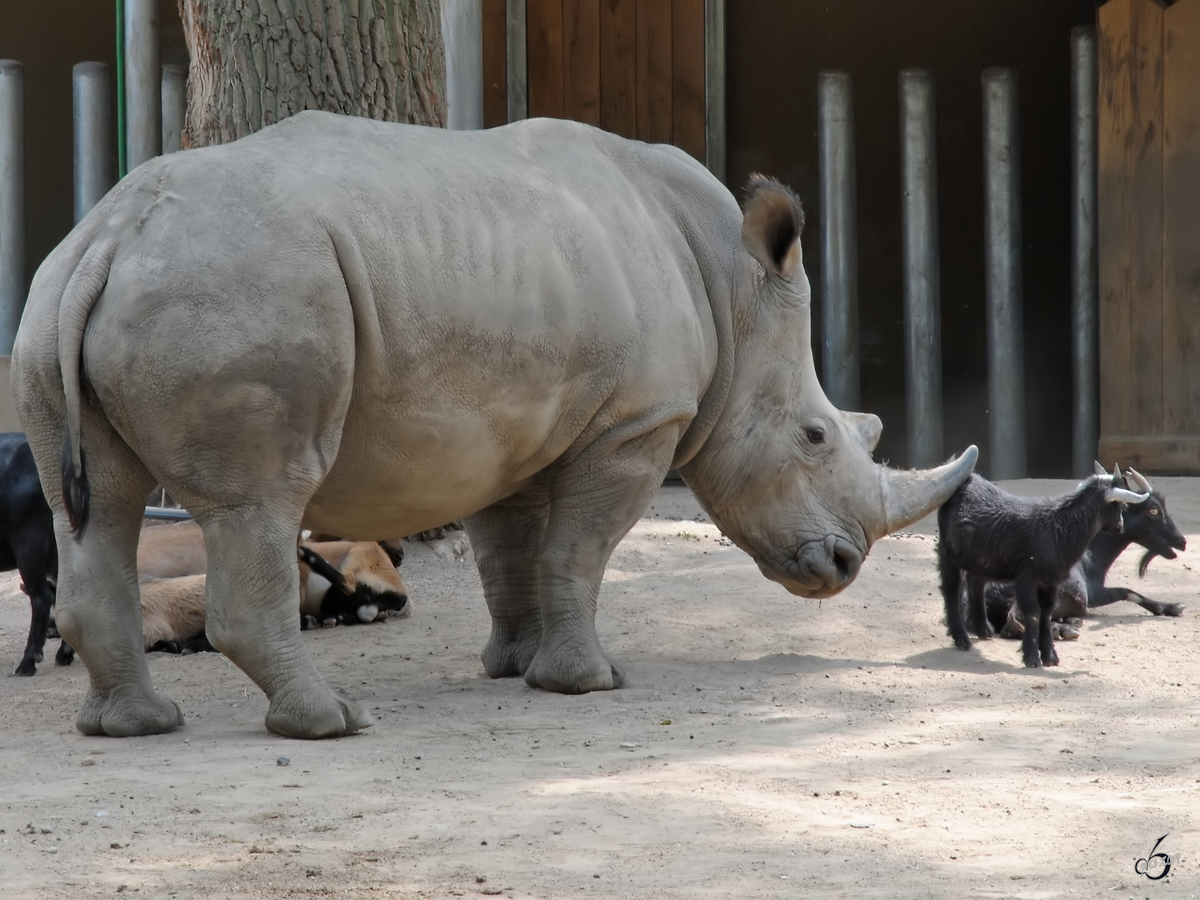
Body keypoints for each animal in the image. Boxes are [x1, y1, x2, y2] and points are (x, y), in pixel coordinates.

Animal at [931, 465, 1147, 672]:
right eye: (1120, 505)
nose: (1120, 525)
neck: (1058, 528)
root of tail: (967, 480)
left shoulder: (1051, 581)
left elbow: (1047, 611)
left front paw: (1050, 656)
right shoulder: (1027, 577)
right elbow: (1033, 611)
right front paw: (1032, 658)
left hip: (979, 559)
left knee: (975, 583)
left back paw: (984, 631)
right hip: (947, 552)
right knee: (951, 589)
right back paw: (961, 639)